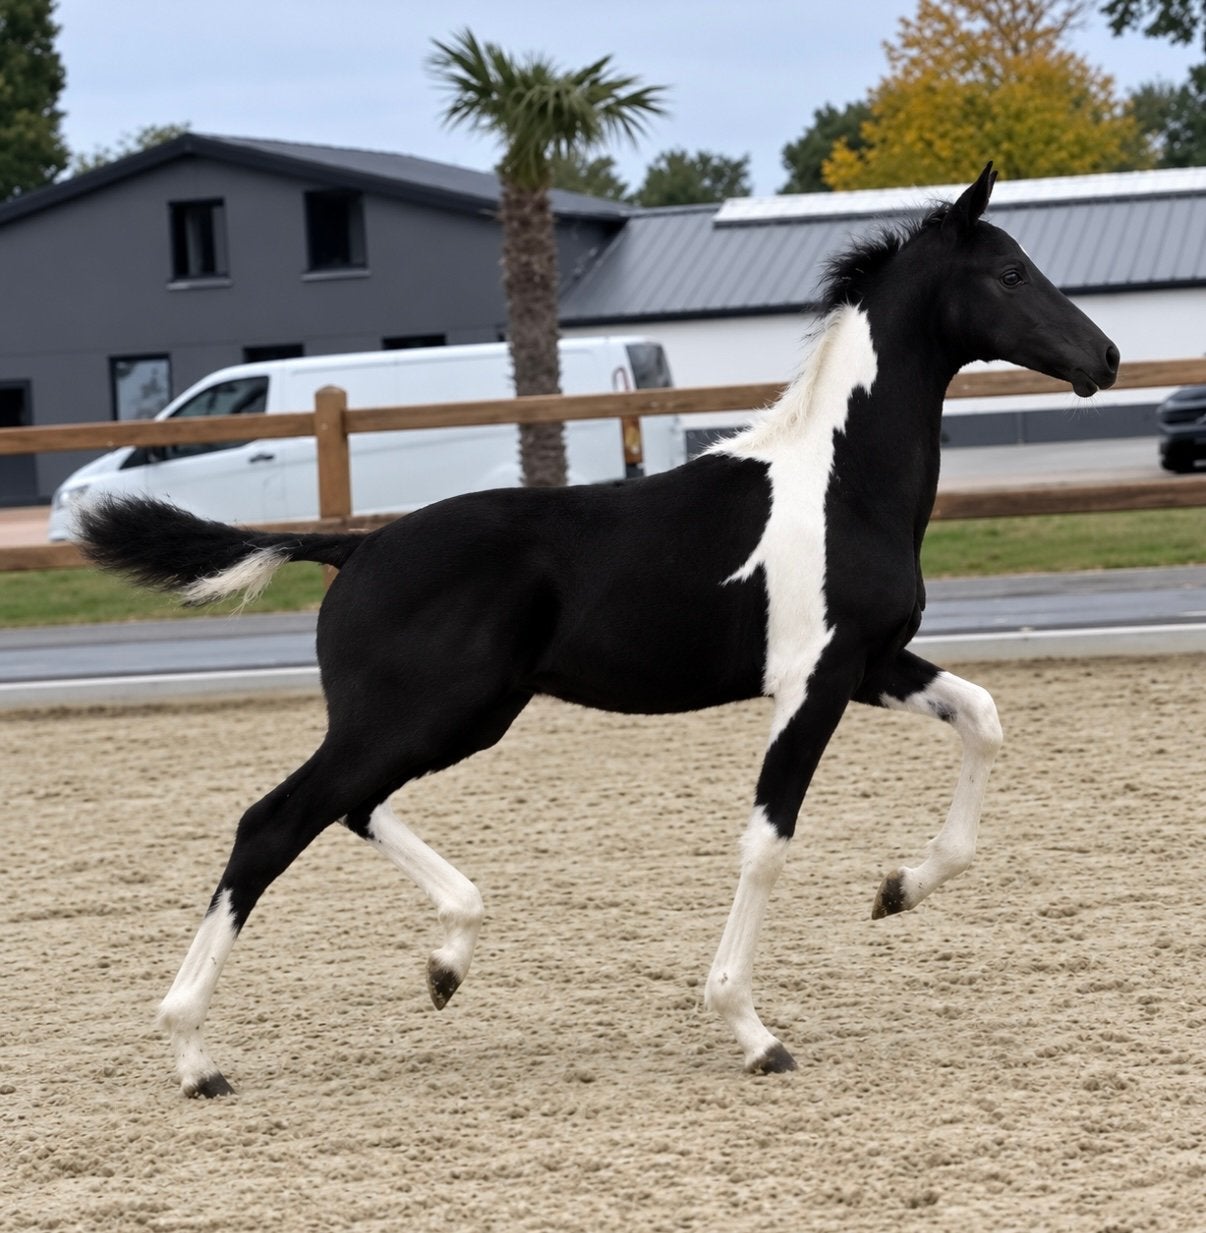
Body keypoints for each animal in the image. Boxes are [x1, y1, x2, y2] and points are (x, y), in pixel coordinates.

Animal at [77, 163, 1119, 1097]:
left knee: (349, 805)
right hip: (417, 715)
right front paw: (753, 1030)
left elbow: (982, 716)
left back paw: (446, 961)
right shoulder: (812, 682)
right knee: (275, 821)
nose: (1104, 358)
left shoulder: (869, 661)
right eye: (1012, 272)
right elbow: (768, 840)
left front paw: (898, 887)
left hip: (456, 719)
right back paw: (195, 1056)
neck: (840, 481)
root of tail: (352, 547)